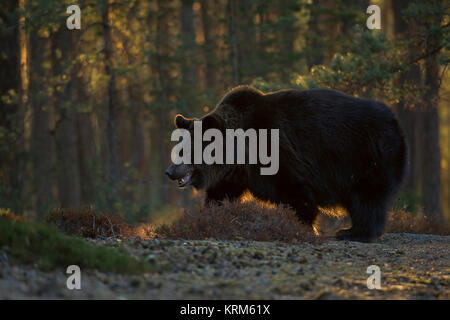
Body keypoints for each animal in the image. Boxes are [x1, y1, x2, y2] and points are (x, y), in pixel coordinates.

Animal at [165, 85, 408, 242]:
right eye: (177, 149)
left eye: (185, 151)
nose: (169, 171)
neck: (238, 151)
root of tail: (395, 120)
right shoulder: (235, 174)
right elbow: (220, 195)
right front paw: (209, 218)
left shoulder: (275, 153)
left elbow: (294, 190)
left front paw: (304, 225)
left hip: (366, 155)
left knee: (367, 198)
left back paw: (354, 232)